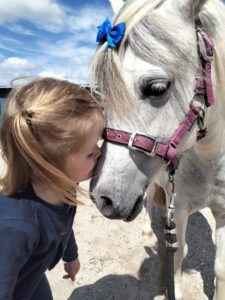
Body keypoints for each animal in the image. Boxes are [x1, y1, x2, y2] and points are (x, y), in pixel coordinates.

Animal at [90, 1, 225, 298]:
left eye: (157, 88)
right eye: (102, 94)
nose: (103, 198)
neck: (211, 161)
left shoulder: (224, 211)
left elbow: (221, 267)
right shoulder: (181, 207)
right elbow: (178, 254)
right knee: (150, 203)